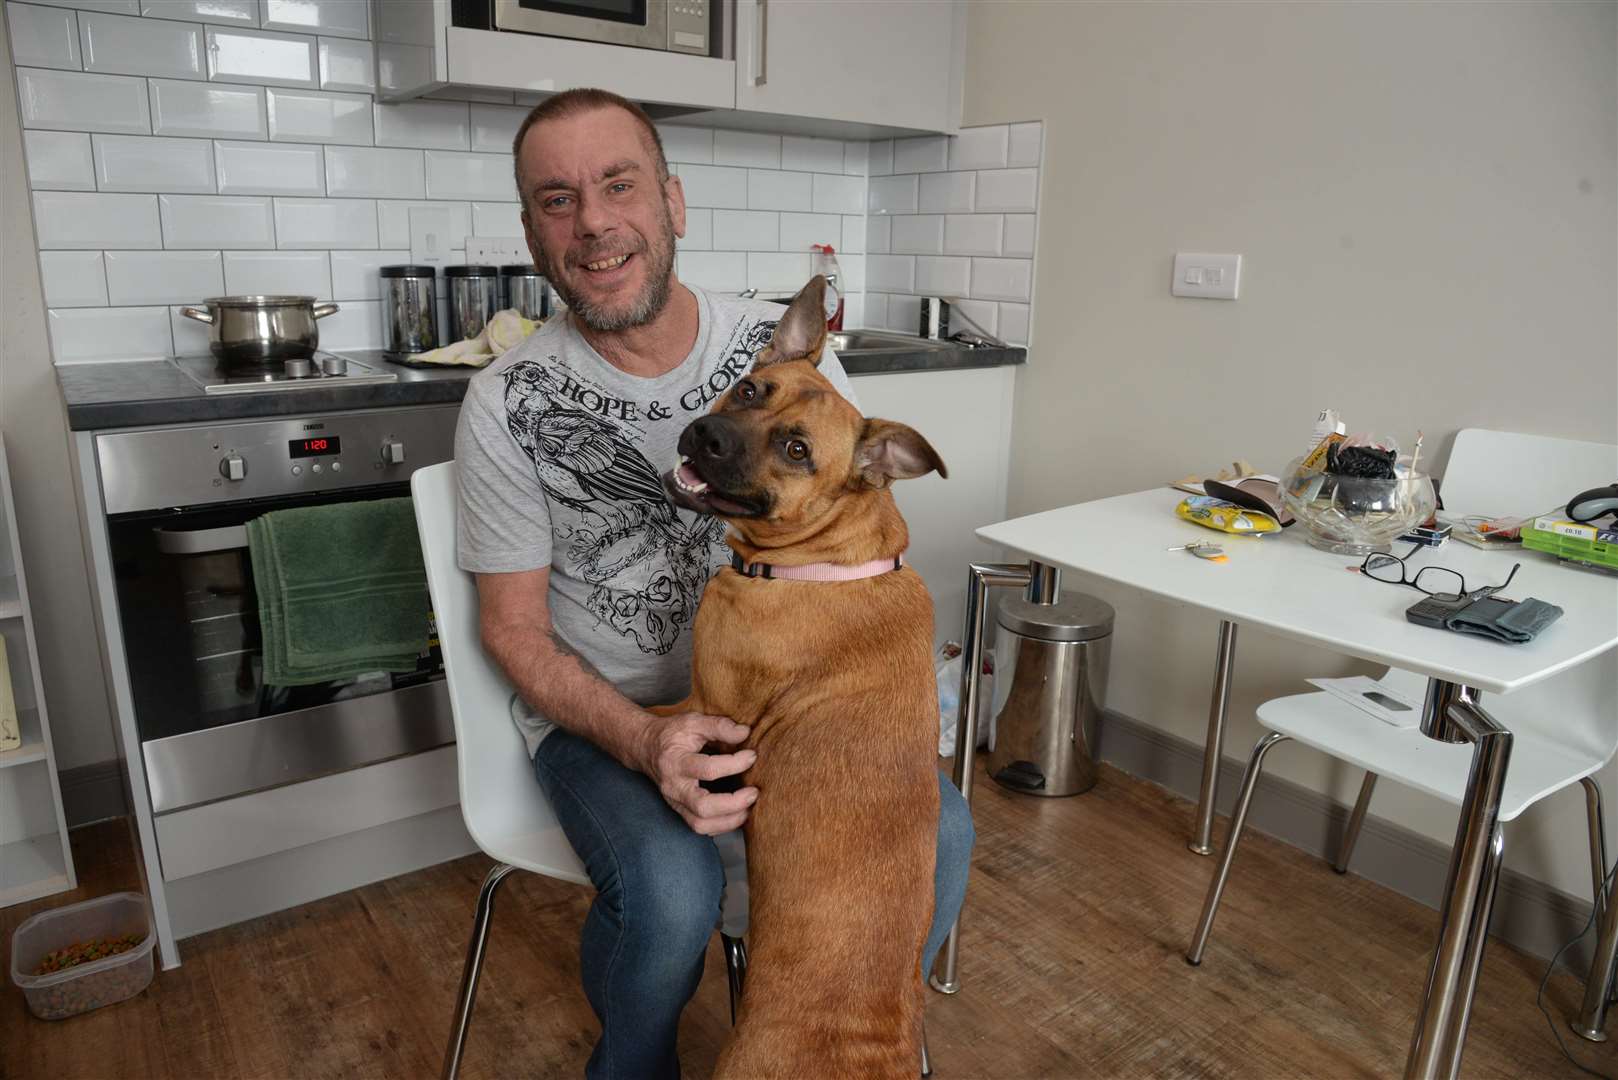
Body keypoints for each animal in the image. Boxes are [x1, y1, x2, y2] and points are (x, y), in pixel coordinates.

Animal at [656, 281, 944, 1080]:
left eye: (796, 451)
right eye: (752, 388)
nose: (707, 436)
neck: (825, 559)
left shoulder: (706, 704)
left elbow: (656, 710)